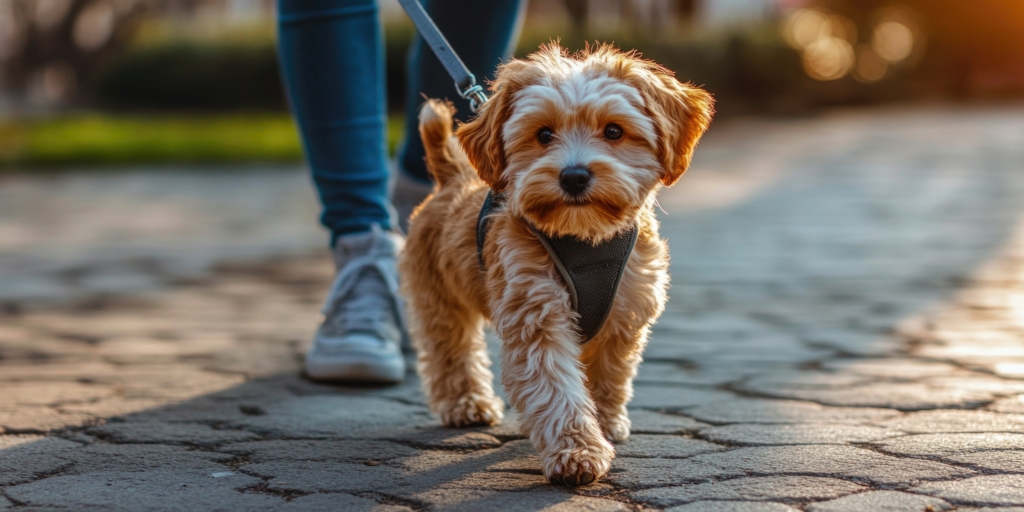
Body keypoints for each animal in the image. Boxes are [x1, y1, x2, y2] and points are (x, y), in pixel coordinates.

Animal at [397, 43, 712, 483]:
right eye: (544, 134)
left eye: (614, 131)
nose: (574, 175)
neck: (584, 238)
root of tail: (453, 177)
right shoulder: (536, 316)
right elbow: (556, 389)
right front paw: (577, 451)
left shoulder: (624, 314)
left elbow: (610, 374)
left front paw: (605, 422)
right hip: (437, 297)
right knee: (449, 350)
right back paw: (466, 403)